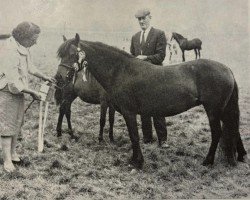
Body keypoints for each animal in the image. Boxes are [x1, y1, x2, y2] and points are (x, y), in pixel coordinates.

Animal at [56, 33, 246, 170]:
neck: (120, 71)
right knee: (233, 129)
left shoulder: (129, 113)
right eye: (60, 55)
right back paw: (239, 156)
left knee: (217, 133)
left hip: (214, 110)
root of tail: (227, 69)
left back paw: (208, 161)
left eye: (72, 54)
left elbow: (134, 136)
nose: (59, 78)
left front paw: (137, 162)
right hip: (224, 110)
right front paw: (134, 159)